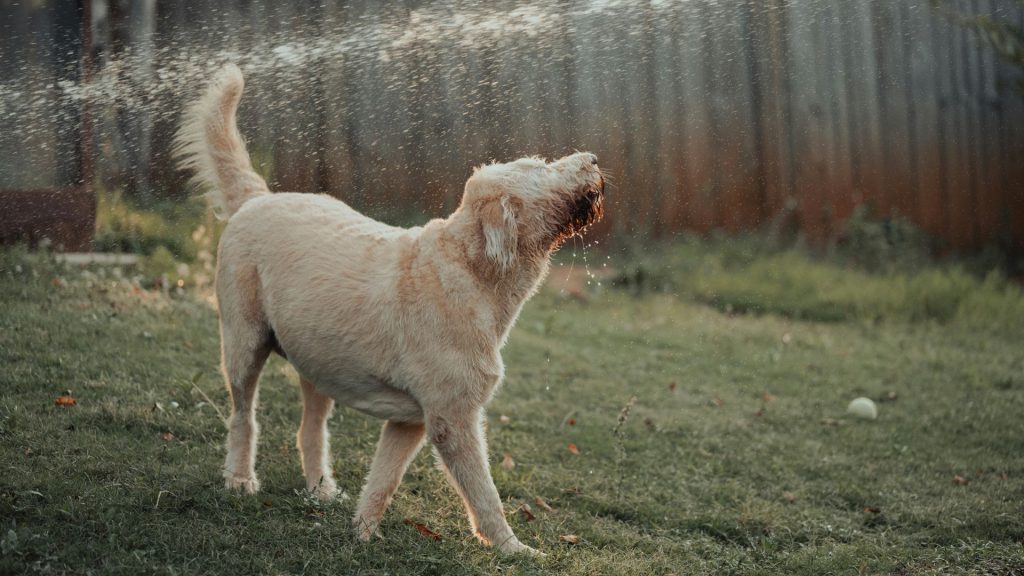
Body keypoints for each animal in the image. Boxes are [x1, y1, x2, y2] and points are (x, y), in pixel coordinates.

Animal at [175, 65, 602, 553]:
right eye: (540, 167)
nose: (593, 157)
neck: (469, 269)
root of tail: (258, 197)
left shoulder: (408, 422)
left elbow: (382, 481)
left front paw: (362, 532)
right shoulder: (452, 420)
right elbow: (484, 494)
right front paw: (512, 548)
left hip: (318, 362)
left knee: (309, 431)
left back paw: (321, 490)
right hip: (244, 345)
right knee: (242, 416)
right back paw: (240, 478)